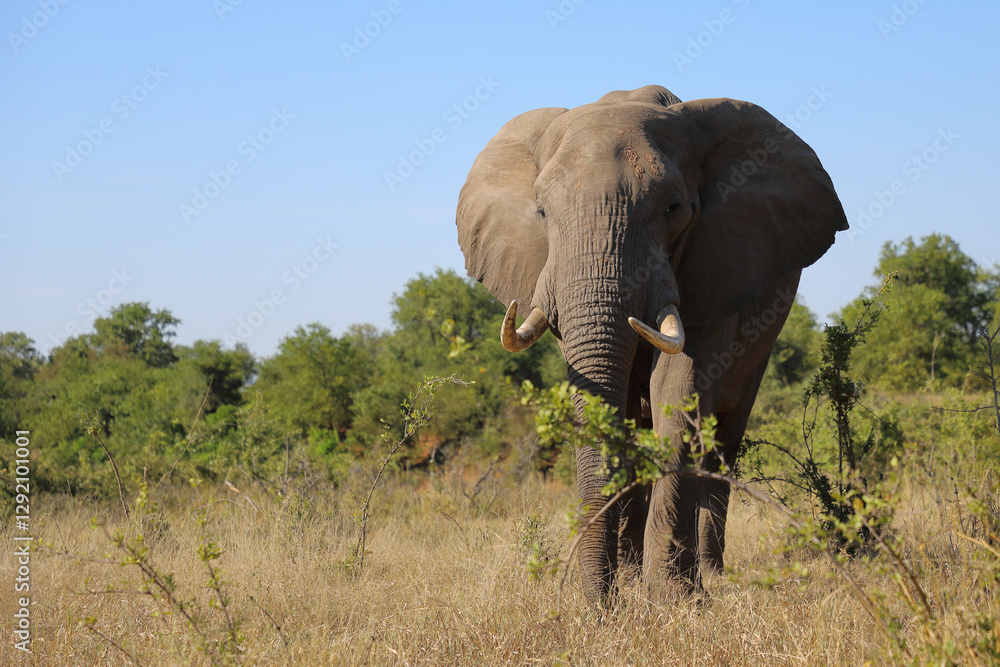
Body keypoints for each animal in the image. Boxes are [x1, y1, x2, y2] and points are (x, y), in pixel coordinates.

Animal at [455, 85, 847, 603]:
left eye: (673, 207)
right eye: (541, 212)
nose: (601, 609)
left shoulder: (713, 266)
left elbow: (678, 391)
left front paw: (674, 599)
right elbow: (616, 409)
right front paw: (628, 591)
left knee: (724, 437)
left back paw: (709, 576)